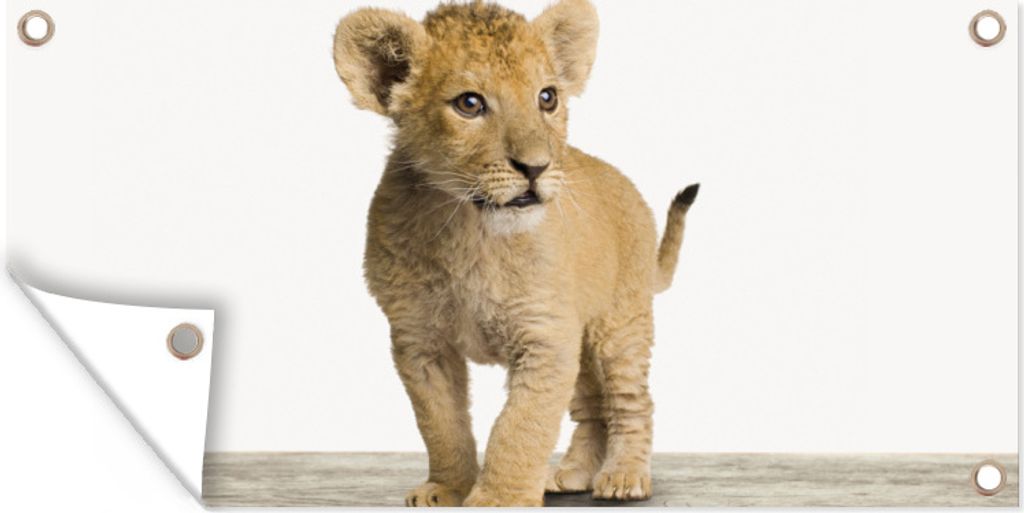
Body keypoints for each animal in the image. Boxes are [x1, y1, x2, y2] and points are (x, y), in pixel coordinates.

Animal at [333, 0, 698, 506]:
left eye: (547, 97)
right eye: (469, 104)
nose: (536, 167)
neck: (469, 230)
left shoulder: (544, 336)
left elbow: (519, 427)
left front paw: (498, 498)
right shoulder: (419, 340)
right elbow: (440, 423)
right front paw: (447, 488)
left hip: (619, 323)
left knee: (631, 400)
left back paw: (624, 477)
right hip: (580, 340)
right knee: (592, 408)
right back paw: (571, 474)